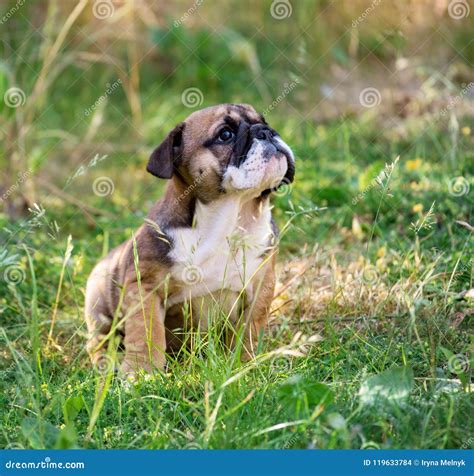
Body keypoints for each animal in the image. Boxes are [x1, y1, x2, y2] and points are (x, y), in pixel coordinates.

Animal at [84, 103, 292, 372]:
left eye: (264, 121)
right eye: (226, 135)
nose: (266, 132)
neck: (232, 217)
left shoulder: (261, 285)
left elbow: (250, 328)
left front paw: (245, 362)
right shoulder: (145, 287)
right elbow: (146, 332)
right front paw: (142, 371)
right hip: (98, 301)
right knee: (98, 342)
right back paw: (105, 363)